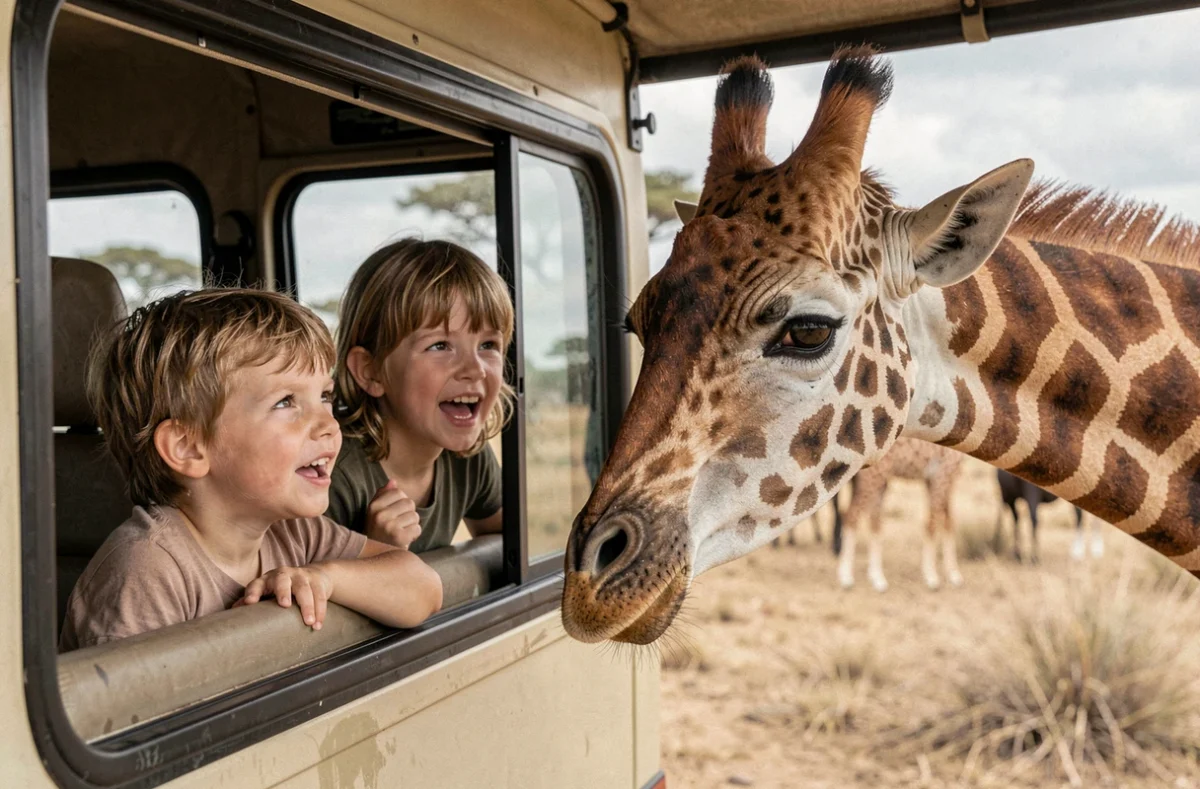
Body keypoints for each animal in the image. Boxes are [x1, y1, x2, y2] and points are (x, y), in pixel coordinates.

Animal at [837, 438, 964, 593]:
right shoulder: (941, 475)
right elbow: (932, 525)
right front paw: (931, 577)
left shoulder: (942, 479)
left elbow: (949, 522)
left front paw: (954, 575)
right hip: (873, 476)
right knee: (851, 515)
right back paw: (846, 578)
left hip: (875, 478)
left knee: (873, 520)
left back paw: (877, 579)